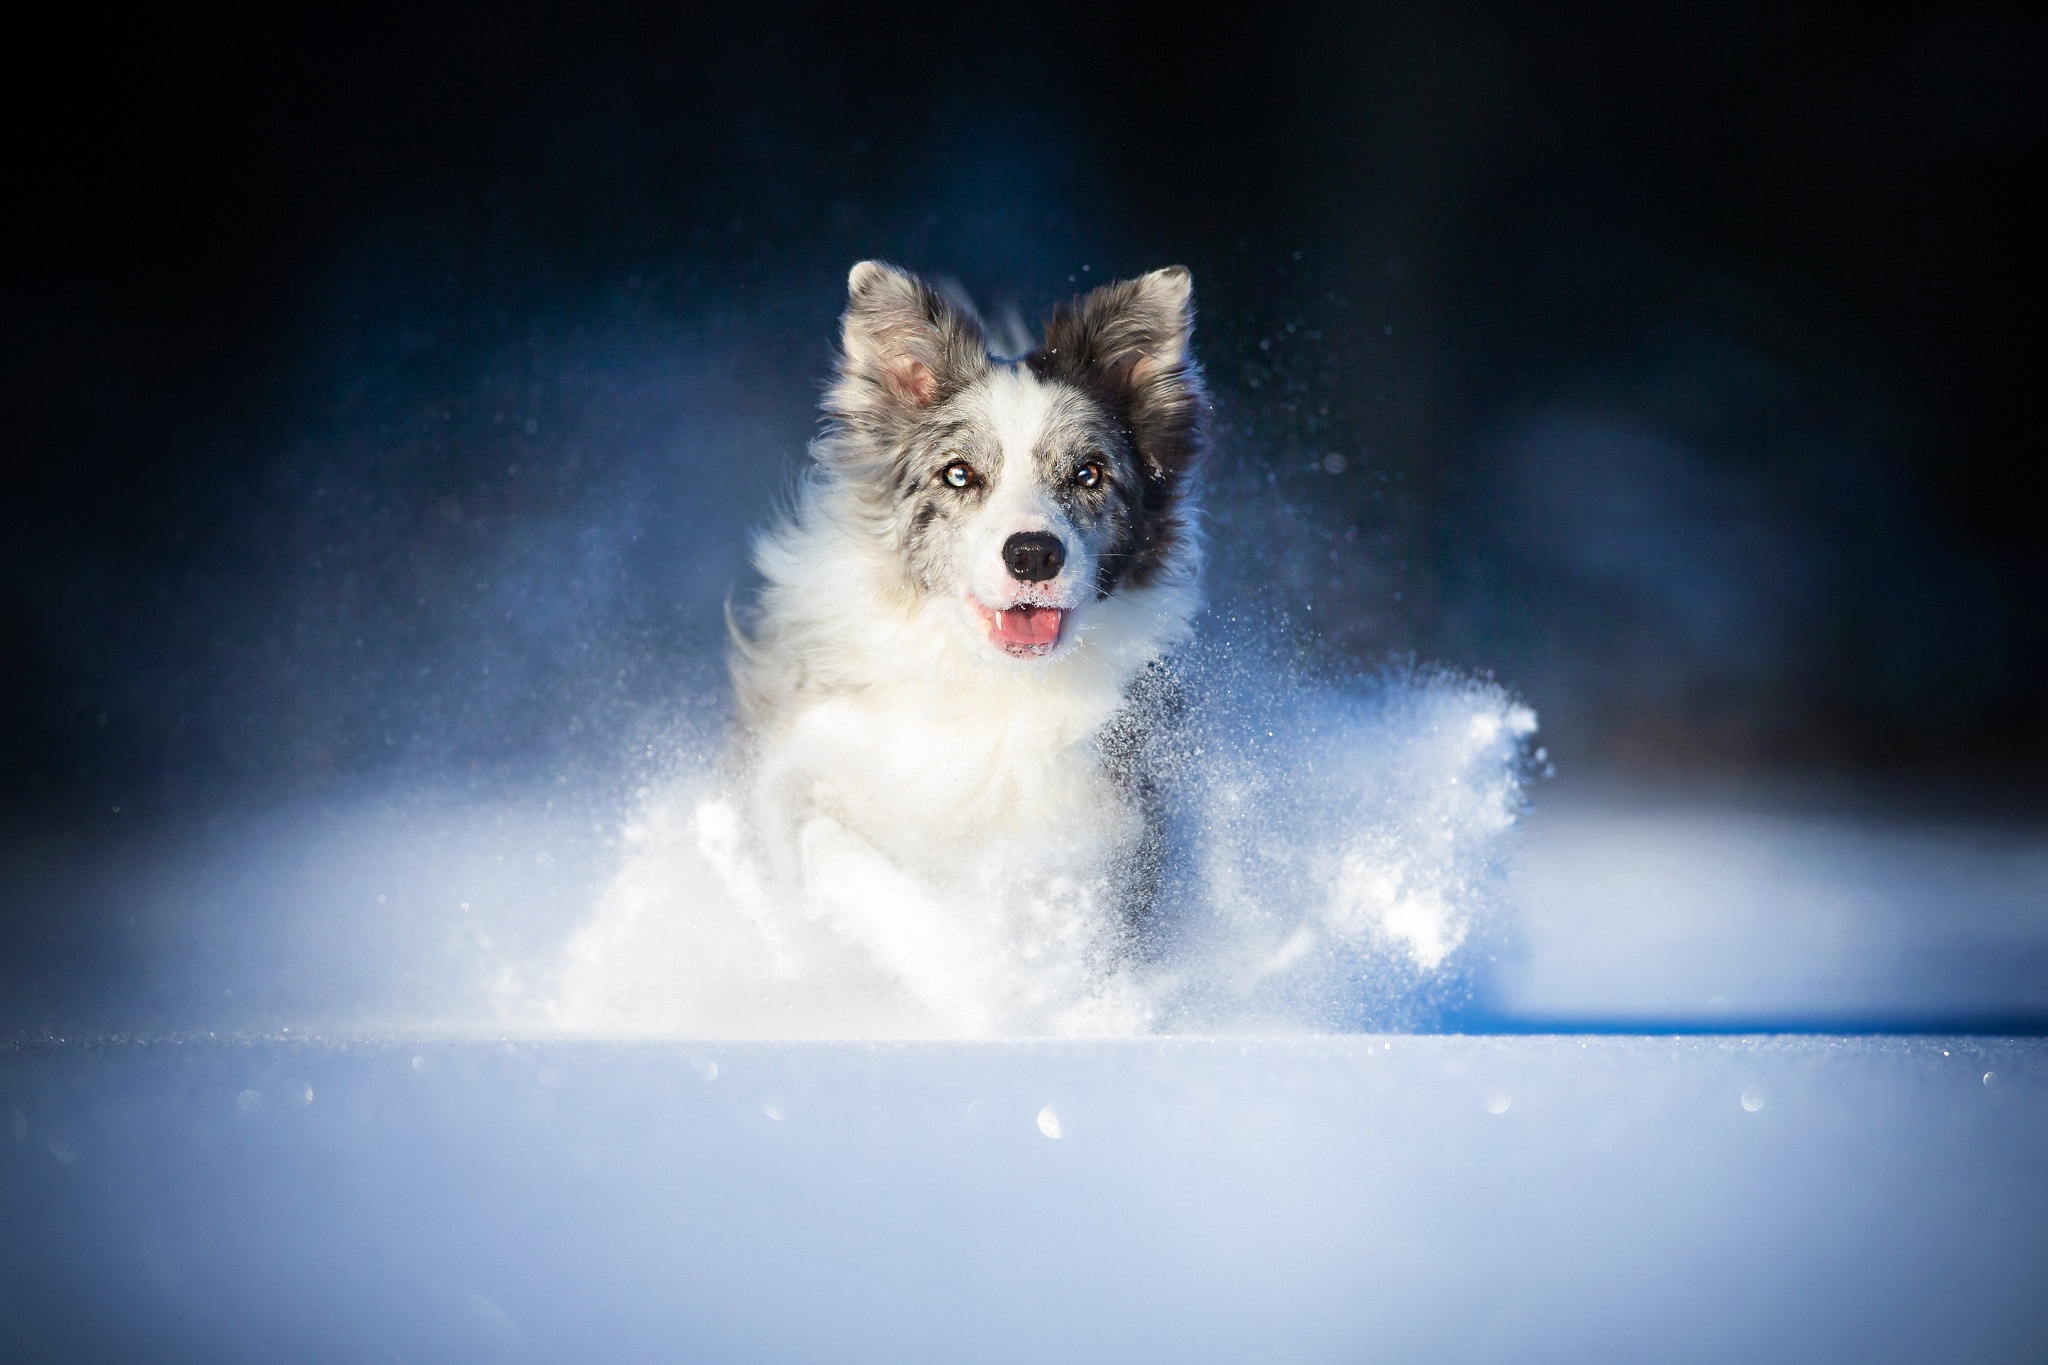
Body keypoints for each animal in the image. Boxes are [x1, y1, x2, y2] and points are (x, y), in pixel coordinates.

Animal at [716, 261, 1204, 1031]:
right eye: (959, 473)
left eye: (1089, 473)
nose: (1032, 554)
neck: (990, 685)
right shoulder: (796, 765)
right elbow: (840, 854)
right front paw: (981, 982)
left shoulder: (1112, 827)